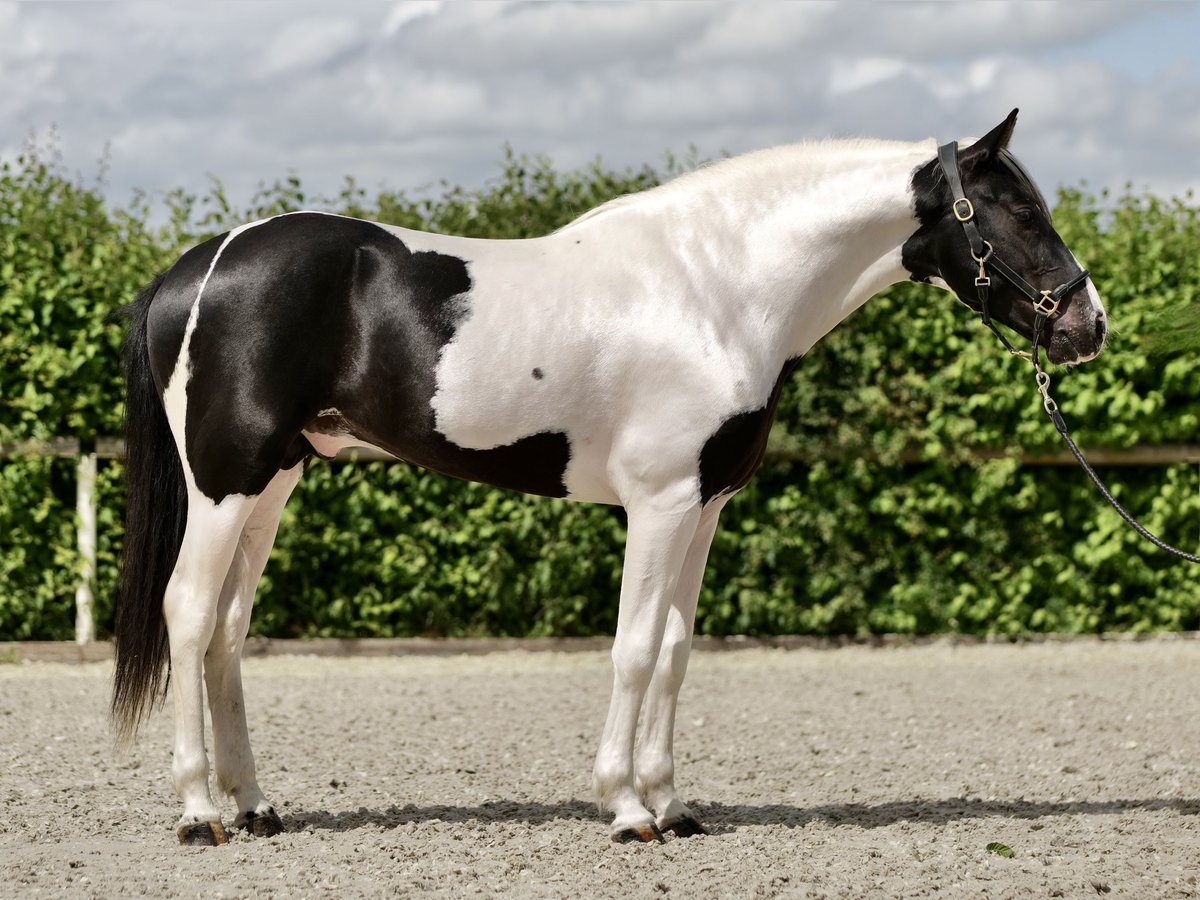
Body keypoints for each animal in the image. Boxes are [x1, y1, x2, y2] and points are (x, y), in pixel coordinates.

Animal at [112, 109, 1104, 849]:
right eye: (1018, 212)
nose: (1086, 326)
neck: (719, 289)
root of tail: (198, 266)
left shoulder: (705, 508)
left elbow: (675, 651)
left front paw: (673, 804)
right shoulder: (658, 505)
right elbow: (631, 649)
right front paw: (627, 812)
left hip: (274, 482)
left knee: (228, 631)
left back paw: (254, 805)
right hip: (224, 483)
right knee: (189, 614)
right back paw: (200, 814)